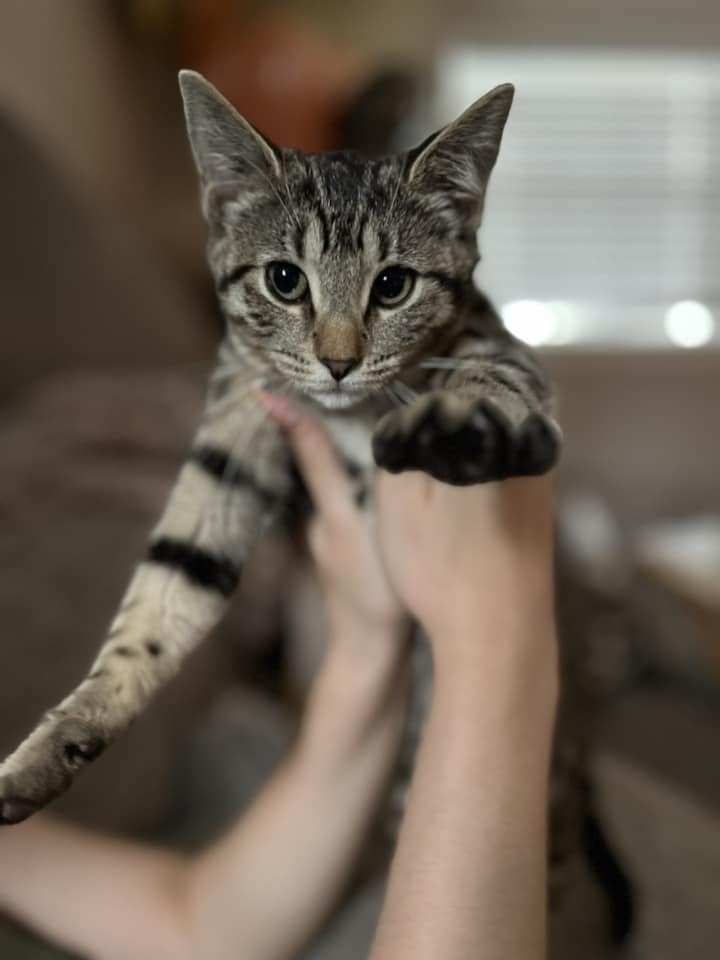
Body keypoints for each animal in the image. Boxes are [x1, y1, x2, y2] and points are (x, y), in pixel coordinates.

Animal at [0, 71, 560, 820]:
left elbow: (492, 388)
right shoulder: (236, 423)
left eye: (394, 285)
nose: (339, 363)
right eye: (284, 280)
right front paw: (62, 735)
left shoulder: (503, 353)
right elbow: (168, 584)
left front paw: (448, 424)